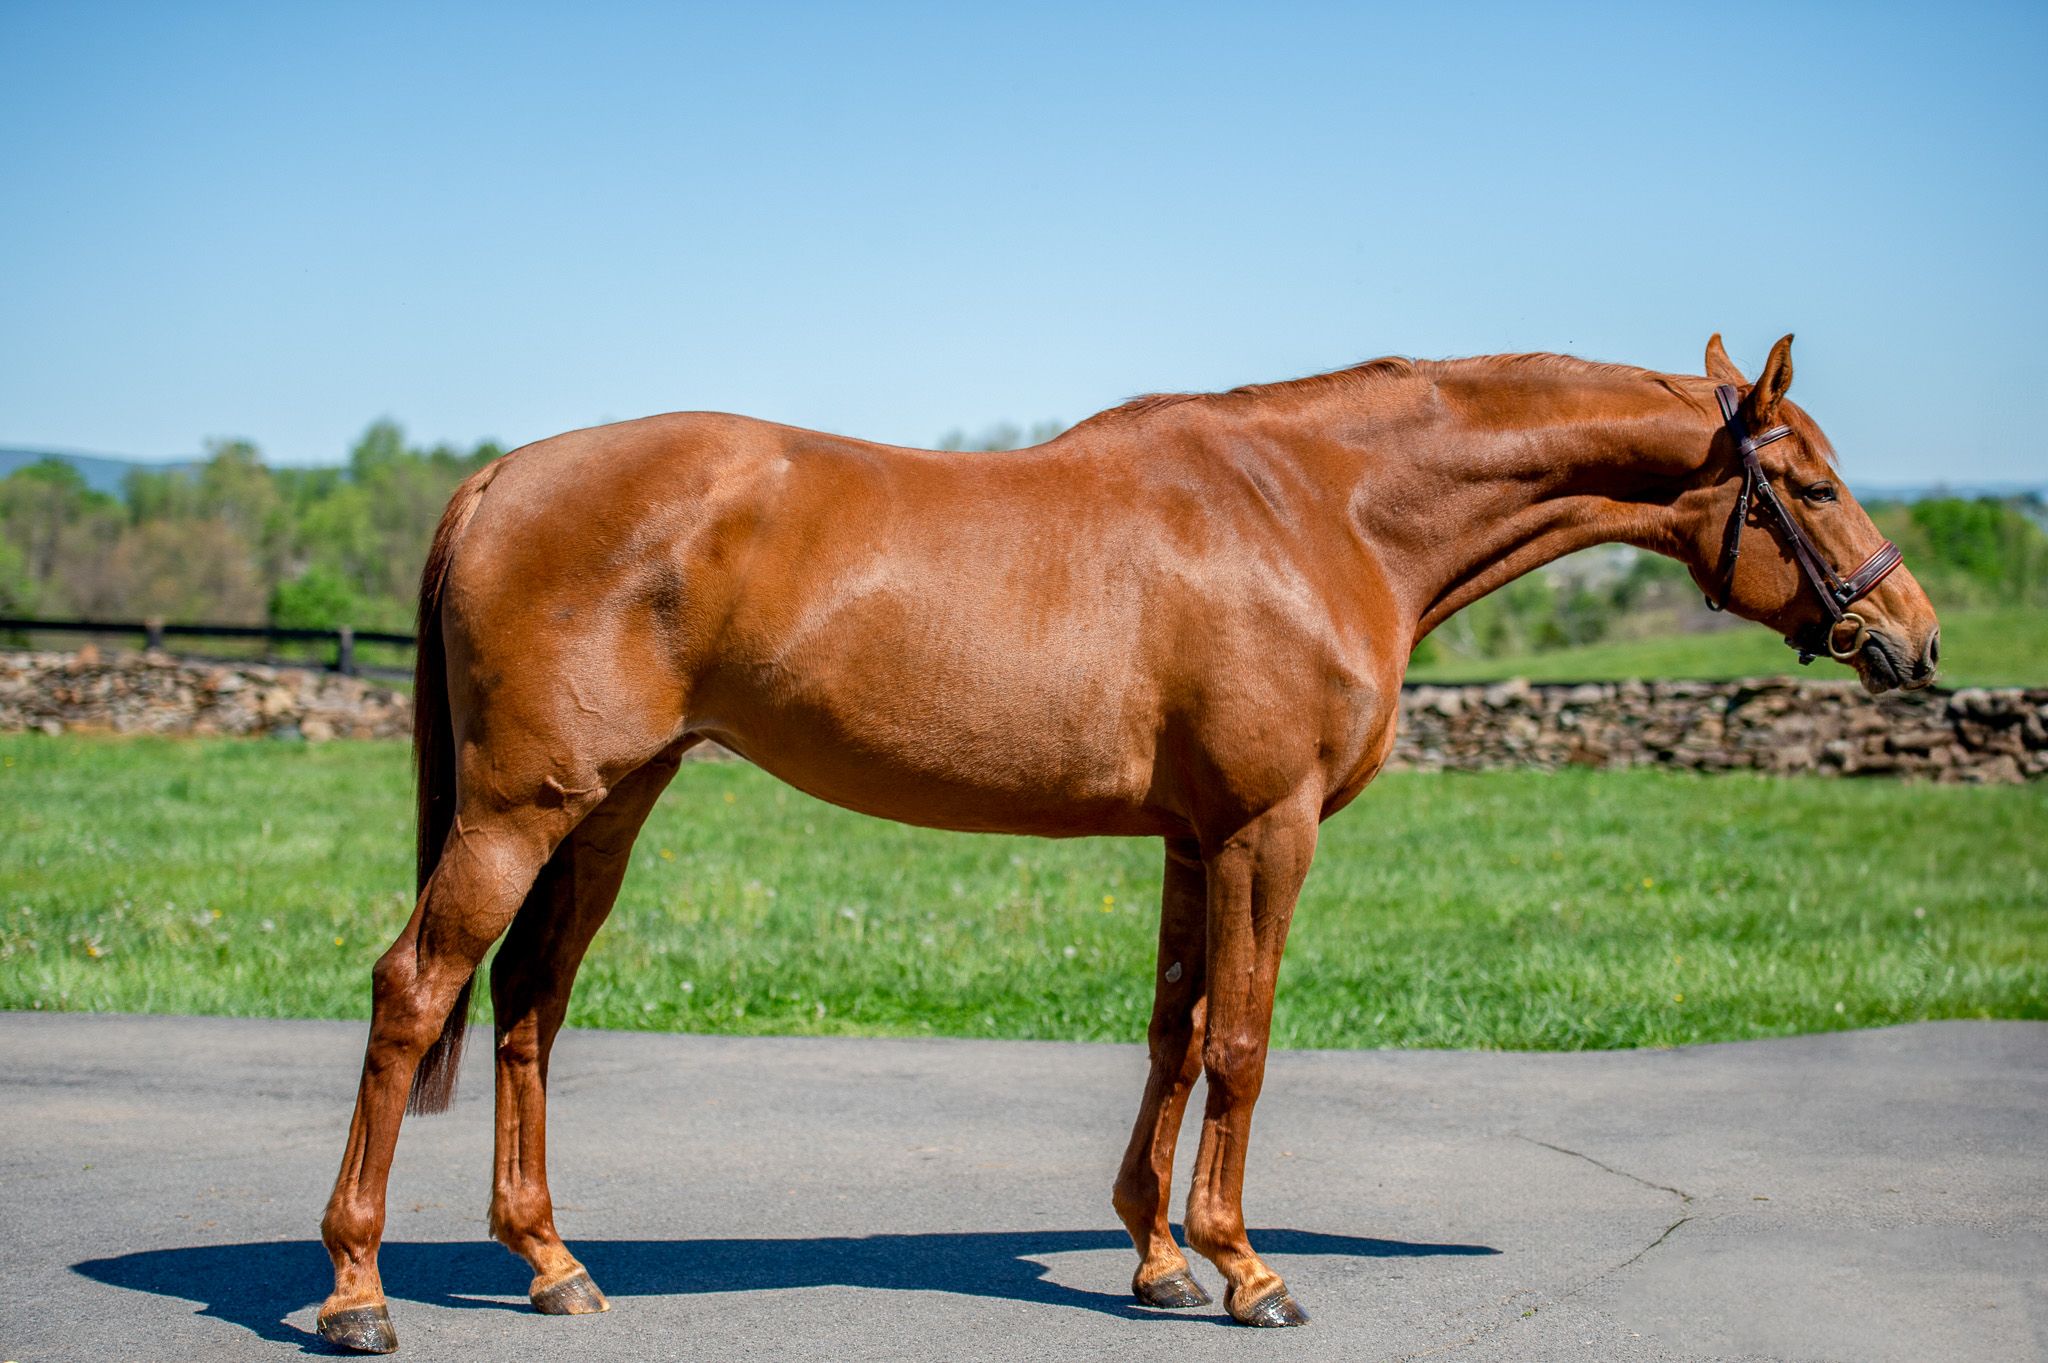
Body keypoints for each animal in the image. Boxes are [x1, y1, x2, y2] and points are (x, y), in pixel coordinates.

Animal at [315, 333, 1939, 1352]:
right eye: (1804, 482)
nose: (1912, 641)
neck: (1321, 510)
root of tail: (502, 475)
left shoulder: (1189, 835)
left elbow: (1173, 1028)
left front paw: (1157, 1259)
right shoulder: (1268, 829)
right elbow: (1245, 1040)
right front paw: (1247, 1268)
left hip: (611, 802)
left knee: (527, 1002)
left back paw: (551, 1265)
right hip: (523, 808)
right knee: (414, 989)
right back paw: (356, 1291)